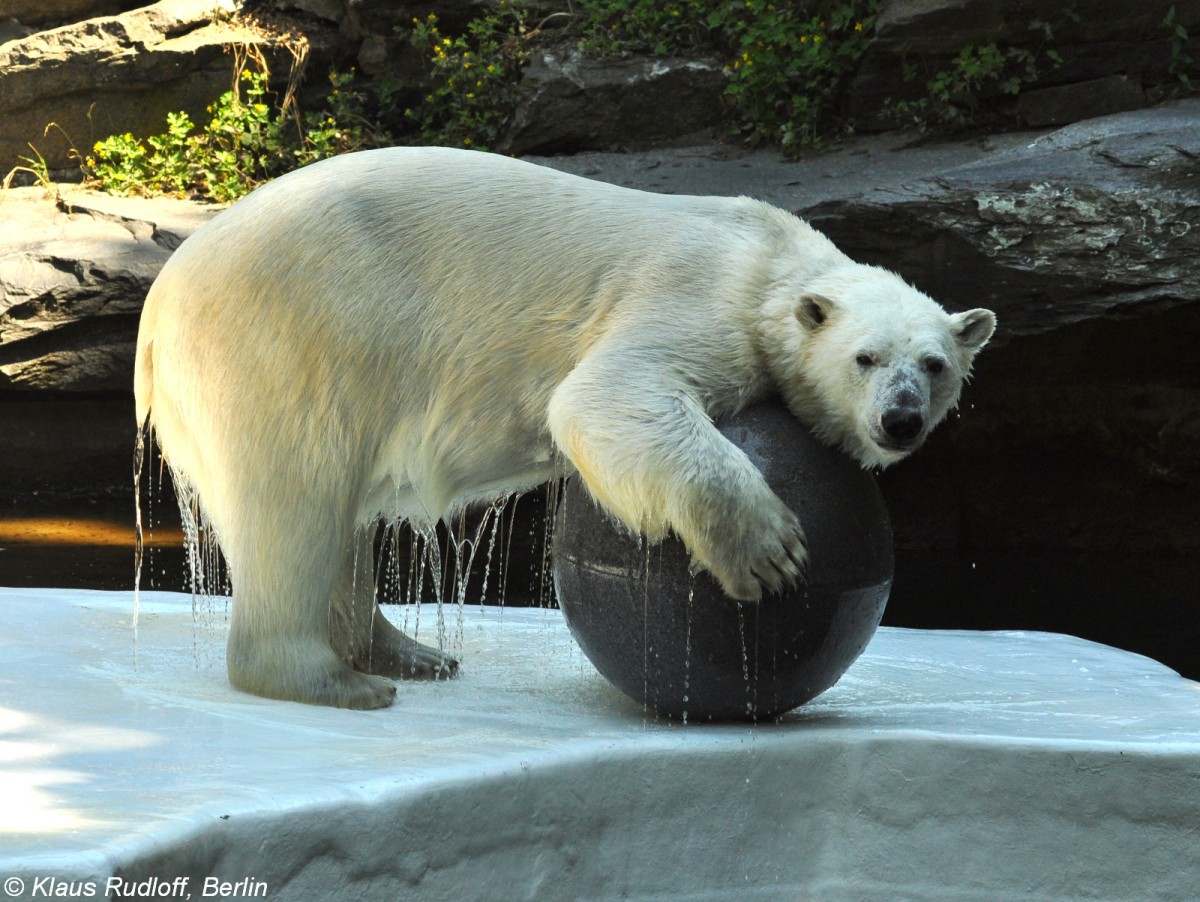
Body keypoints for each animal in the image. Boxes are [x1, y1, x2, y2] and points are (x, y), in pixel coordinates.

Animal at [131, 148, 998, 710]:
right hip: (292, 327)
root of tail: (162, 299)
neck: (771, 260)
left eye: (934, 365)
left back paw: (409, 653)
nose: (898, 420)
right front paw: (768, 552)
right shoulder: (701, 297)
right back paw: (337, 681)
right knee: (298, 492)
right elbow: (607, 395)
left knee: (336, 519)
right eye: (865, 357)